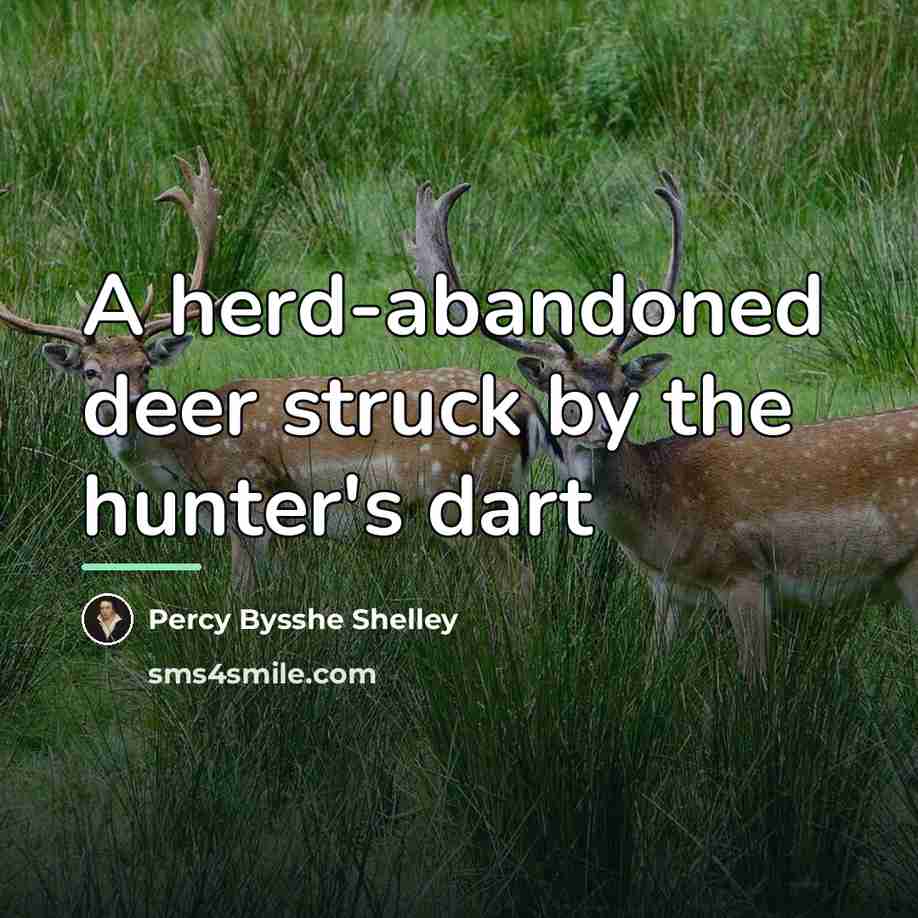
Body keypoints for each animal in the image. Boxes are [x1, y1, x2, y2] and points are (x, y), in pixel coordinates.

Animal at [0, 152, 551, 594]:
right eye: (91, 372)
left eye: (143, 369)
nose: (128, 410)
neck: (191, 464)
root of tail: (528, 404)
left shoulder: (250, 493)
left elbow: (241, 593)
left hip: (462, 493)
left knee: (519, 578)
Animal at [407, 172, 918, 682]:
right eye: (562, 386)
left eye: (621, 387)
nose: (600, 432)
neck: (662, 523)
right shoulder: (670, 592)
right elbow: (653, 671)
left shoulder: (745, 573)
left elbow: (754, 679)